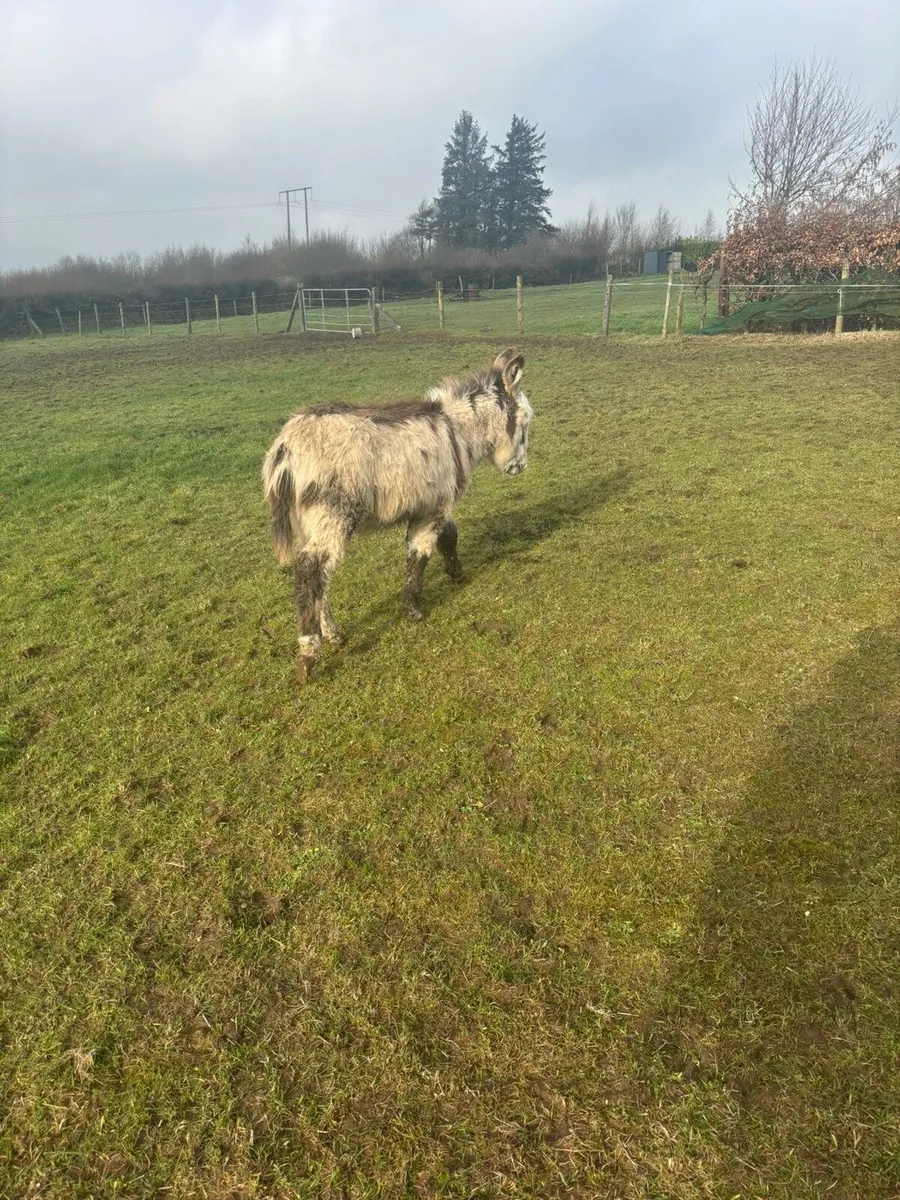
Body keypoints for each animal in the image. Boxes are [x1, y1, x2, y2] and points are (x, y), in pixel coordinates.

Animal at [262, 347, 532, 680]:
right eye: (525, 421)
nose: (520, 467)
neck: (456, 431)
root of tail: (285, 448)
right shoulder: (433, 508)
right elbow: (420, 553)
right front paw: (414, 609)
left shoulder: (434, 503)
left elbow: (449, 536)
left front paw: (455, 573)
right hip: (333, 515)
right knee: (310, 571)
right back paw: (309, 652)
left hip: (306, 523)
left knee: (318, 576)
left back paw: (333, 634)